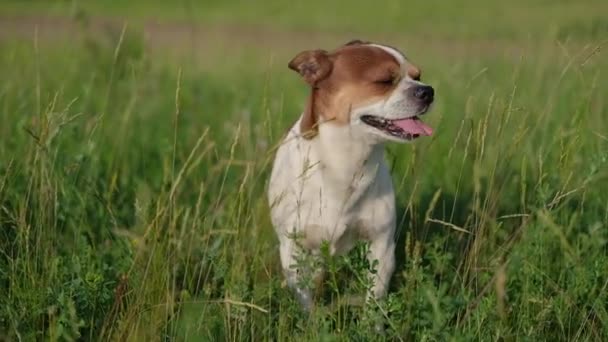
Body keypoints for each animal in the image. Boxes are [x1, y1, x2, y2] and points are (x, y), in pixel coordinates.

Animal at [268, 40, 434, 310]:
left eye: (417, 76)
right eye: (384, 81)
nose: (428, 91)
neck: (347, 159)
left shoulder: (381, 246)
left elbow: (374, 301)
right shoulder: (293, 248)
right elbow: (306, 300)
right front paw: (313, 321)